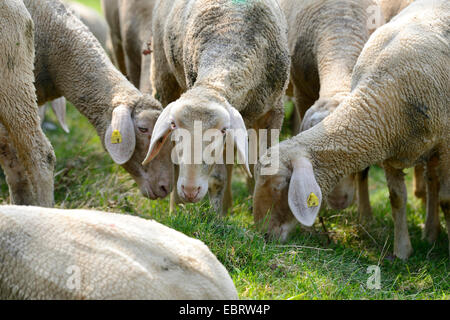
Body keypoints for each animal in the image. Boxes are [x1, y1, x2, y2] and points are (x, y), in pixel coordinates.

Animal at [144, 0, 292, 215]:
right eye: (173, 125)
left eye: (222, 129)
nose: (189, 190)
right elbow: (216, 179)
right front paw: (216, 218)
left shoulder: (273, 112)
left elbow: (264, 167)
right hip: (163, 74)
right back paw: (177, 208)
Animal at [253, 0, 450, 258]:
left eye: (278, 187)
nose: (262, 236)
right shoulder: (387, 145)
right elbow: (397, 197)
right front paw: (402, 251)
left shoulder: (444, 146)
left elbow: (446, 199)